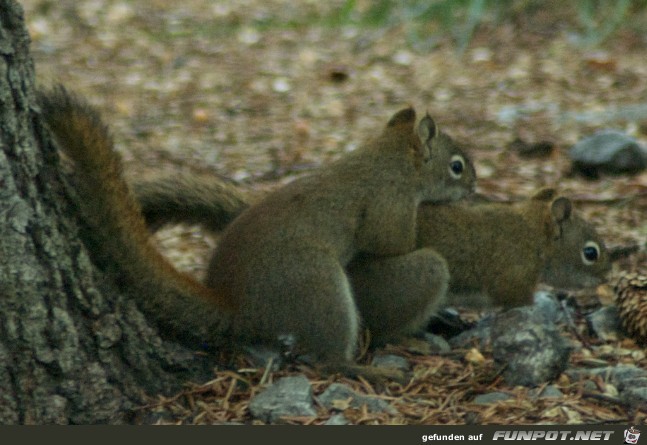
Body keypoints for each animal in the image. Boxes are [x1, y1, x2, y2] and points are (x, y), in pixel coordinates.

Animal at [40, 86, 476, 382]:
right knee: (328, 358)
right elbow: (391, 243)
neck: (389, 155)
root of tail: (240, 307)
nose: (474, 186)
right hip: (315, 282)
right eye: (456, 166)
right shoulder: (389, 202)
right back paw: (369, 370)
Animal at [133, 177, 612, 344]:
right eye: (591, 252)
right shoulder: (513, 273)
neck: (532, 234)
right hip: (415, 277)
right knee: (377, 330)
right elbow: (519, 303)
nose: (610, 273)